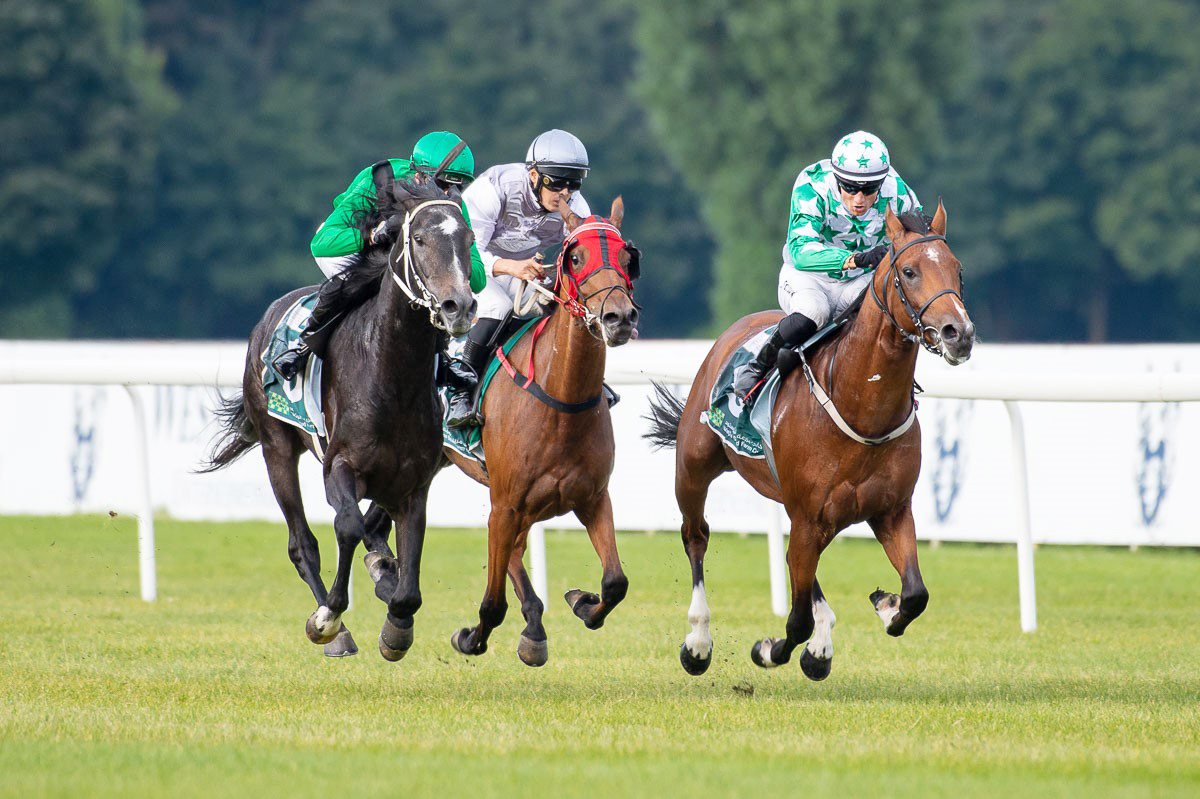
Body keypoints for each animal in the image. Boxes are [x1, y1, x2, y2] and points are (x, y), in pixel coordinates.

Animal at [201, 177, 472, 657]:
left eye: (469, 240)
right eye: (420, 239)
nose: (459, 306)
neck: (392, 378)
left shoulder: (415, 483)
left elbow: (408, 578)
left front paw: (397, 620)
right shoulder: (340, 465)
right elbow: (346, 525)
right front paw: (329, 616)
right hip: (276, 447)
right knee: (302, 543)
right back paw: (336, 627)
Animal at [441, 195, 643, 662]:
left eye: (628, 258)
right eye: (576, 258)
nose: (618, 317)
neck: (561, 402)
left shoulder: (593, 498)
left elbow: (615, 582)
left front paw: (583, 602)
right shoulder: (505, 504)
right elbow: (492, 602)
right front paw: (470, 637)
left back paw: (534, 624)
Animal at [648, 203, 974, 676]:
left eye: (957, 269)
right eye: (909, 271)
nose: (958, 332)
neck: (862, 408)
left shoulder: (890, 511)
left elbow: (916, 594)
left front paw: (886, 604)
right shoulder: (809, 516)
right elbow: (796, 620)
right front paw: (771, 650)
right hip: (693, 469)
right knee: (696, 537)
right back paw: (698, 642)